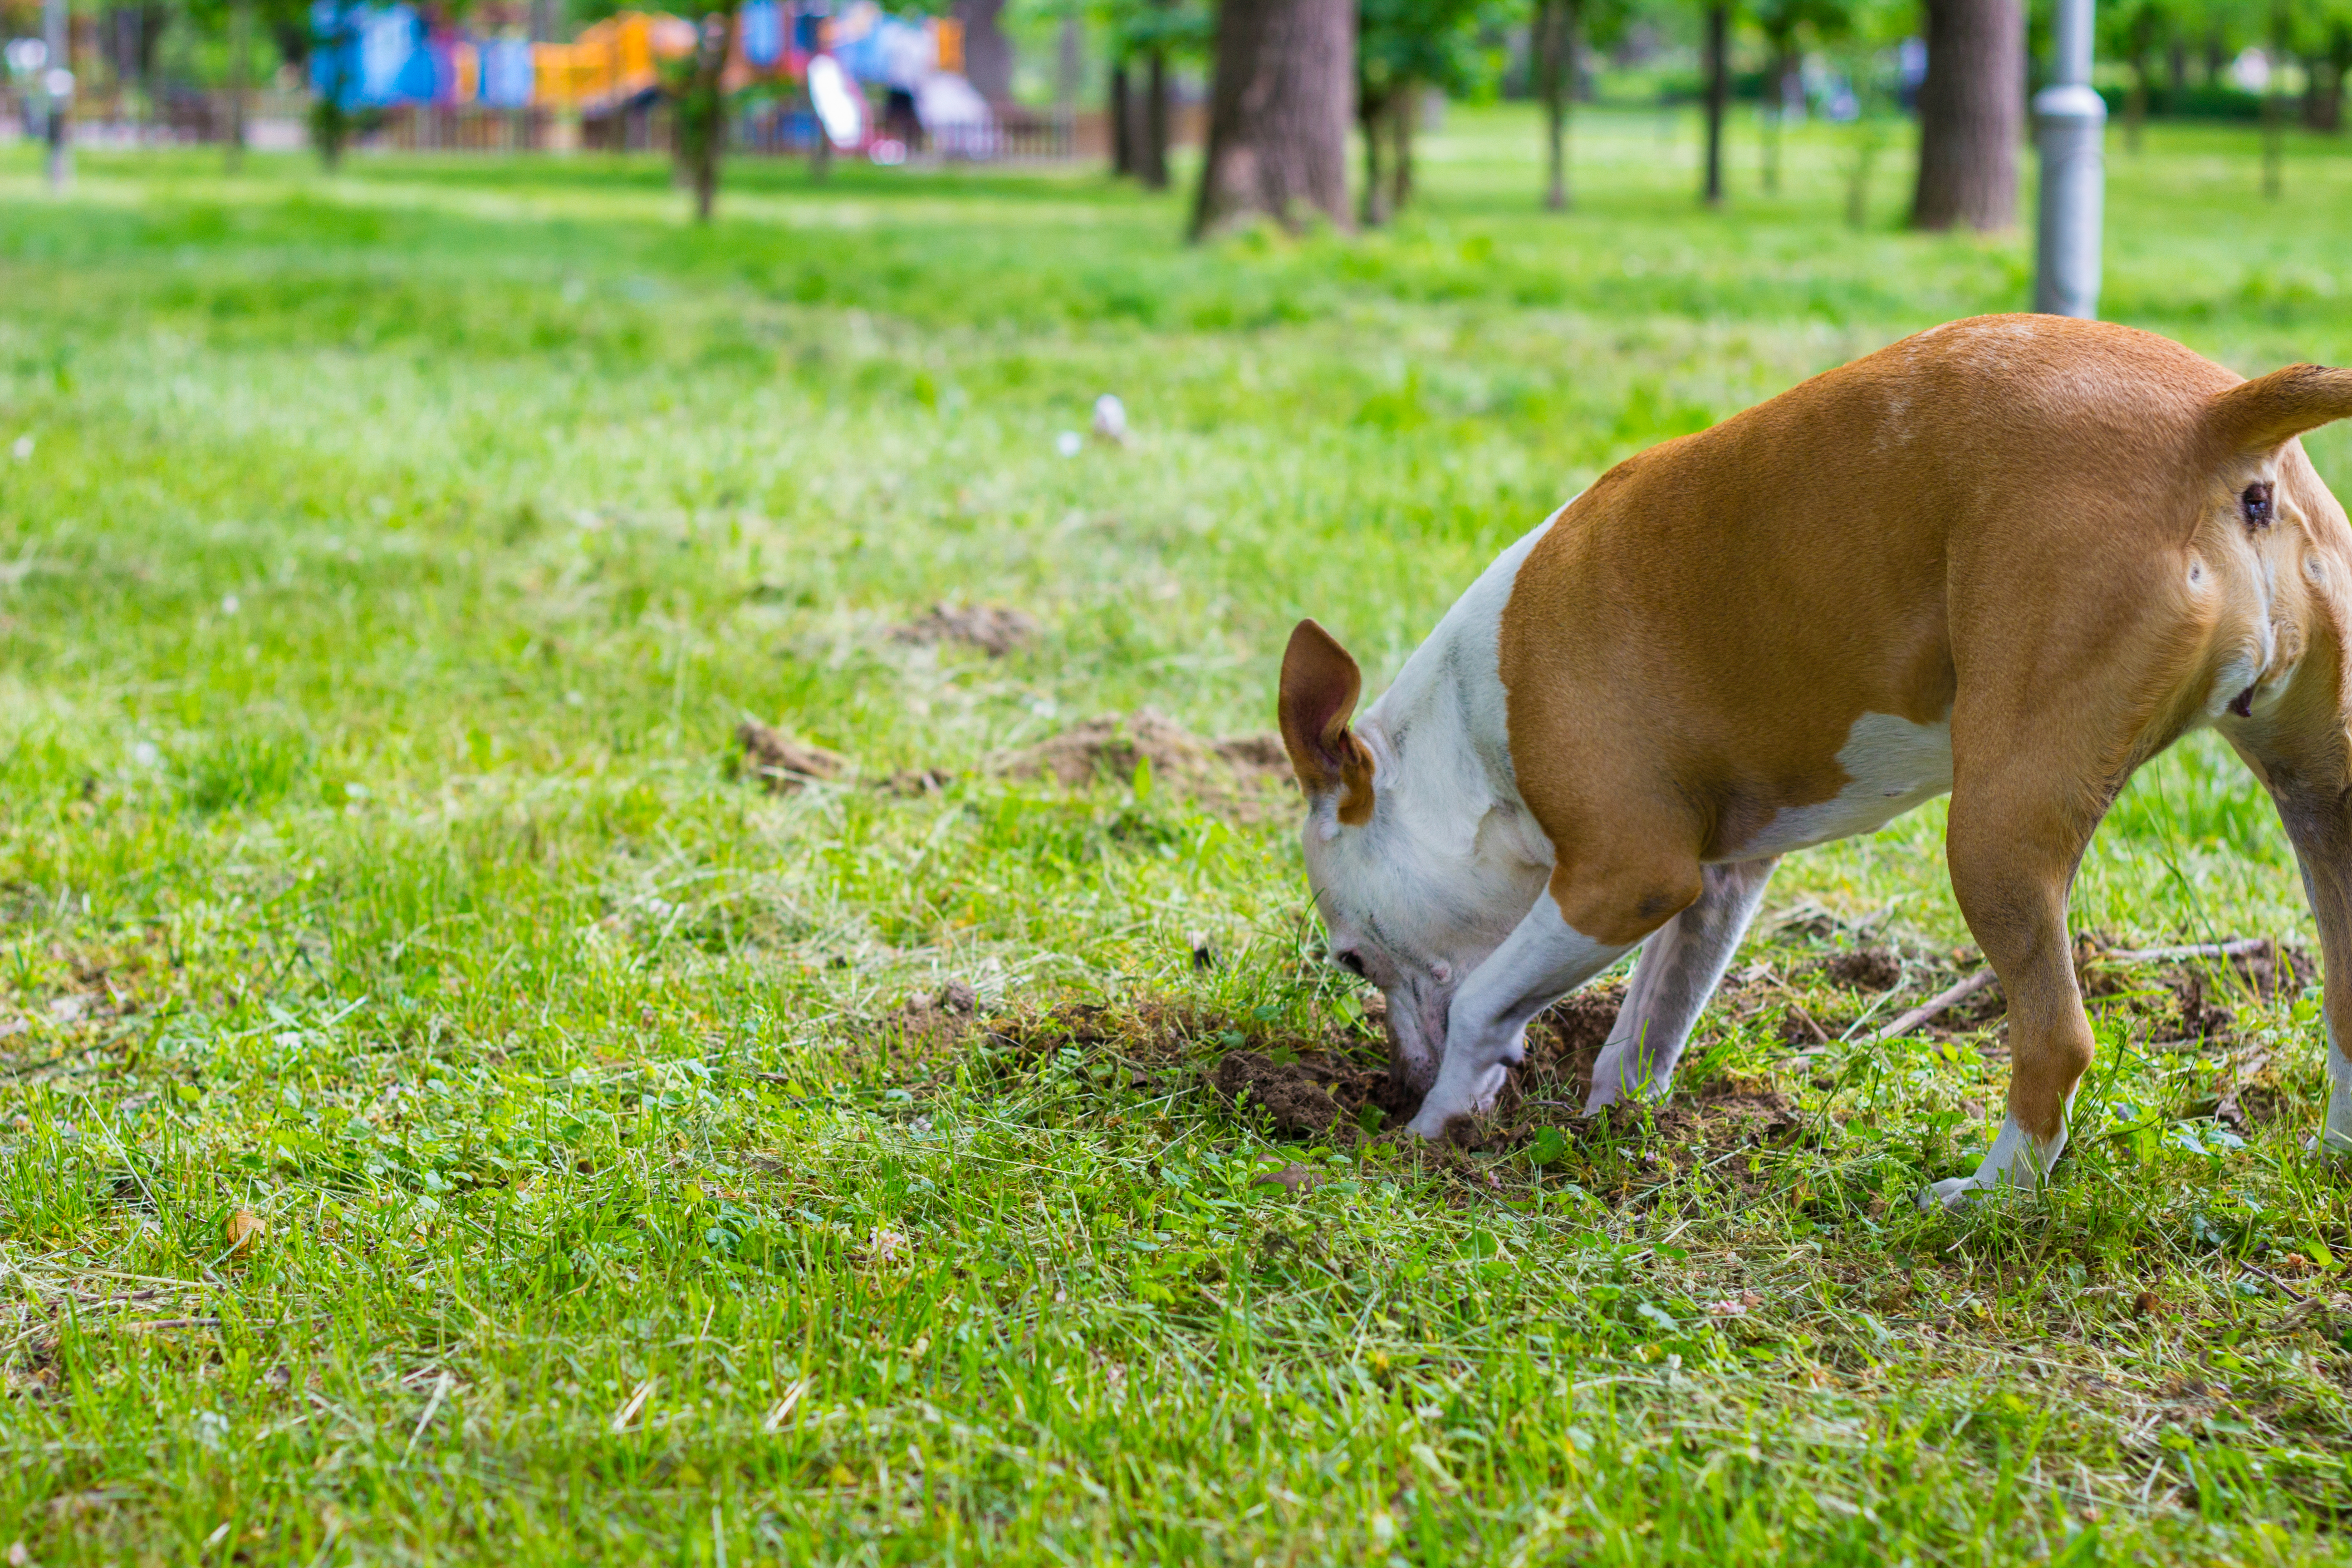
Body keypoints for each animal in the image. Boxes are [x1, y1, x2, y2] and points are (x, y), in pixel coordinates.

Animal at [1279, 315, 2352, 1203]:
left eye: (1351, 957)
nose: (1396, 1083)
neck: (1467, 733)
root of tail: (2214, 420)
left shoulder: (1625, 878)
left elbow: (1481, 1002)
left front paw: (1433, 1129)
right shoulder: (1717, 881)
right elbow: (1644, 1033)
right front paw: (1611, 1132)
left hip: (1997, 832)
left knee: (2055, 1037)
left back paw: (1989, 1198)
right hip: (2320, 797)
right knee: (2342, 988)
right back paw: (2336, 1157)